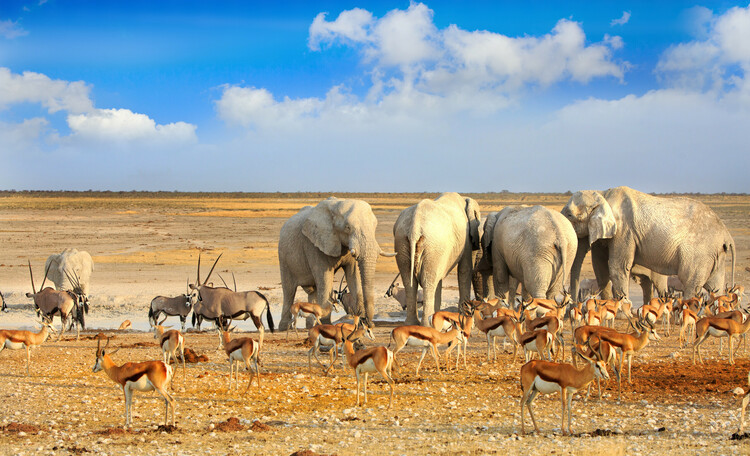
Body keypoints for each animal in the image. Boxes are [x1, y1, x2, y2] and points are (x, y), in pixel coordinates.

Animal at [280, 198, 396, 330]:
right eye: (347, 228)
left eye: (374, 226)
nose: (369, 323)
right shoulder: (314, 245)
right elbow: (325, 279)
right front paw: (326, 324)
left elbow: (353, 276)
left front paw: (360, 322)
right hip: (284, 257)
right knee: (289, 291)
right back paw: (284, 327)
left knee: (313, 291)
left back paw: (310, 326)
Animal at [394, 191, 482, 326]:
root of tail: (415, 226)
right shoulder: (465, 240)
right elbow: (465, 270)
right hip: (432, 244)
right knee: (428, 280)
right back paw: (427, 324)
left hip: (403, 243)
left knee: (411, 281)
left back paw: (412, 323)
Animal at [564, 185, 736, 302]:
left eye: (570, 215)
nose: (573, 305)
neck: (603, 194)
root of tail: (727, 235)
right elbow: (600, 267)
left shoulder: (624, 231)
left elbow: (617, 266)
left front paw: (620, 312)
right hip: (715, 254)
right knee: (714, 285)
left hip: (699, 253)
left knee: (691, 282)